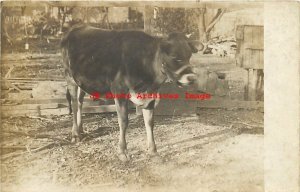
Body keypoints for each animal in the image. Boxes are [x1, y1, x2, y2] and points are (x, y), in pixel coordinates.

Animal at [60, 24, 199, 161]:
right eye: (174, 56)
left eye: (189, 56)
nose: (192, 78)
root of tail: (73, 29)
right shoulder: (119, 91)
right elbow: (123, 121)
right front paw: (123, 152)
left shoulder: (150, 96)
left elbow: (149, 122)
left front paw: (153, 151)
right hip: (69, 76)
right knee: (74, 104)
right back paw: (75, 135)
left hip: (81, 81)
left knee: (80, 102)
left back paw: (81, 130)